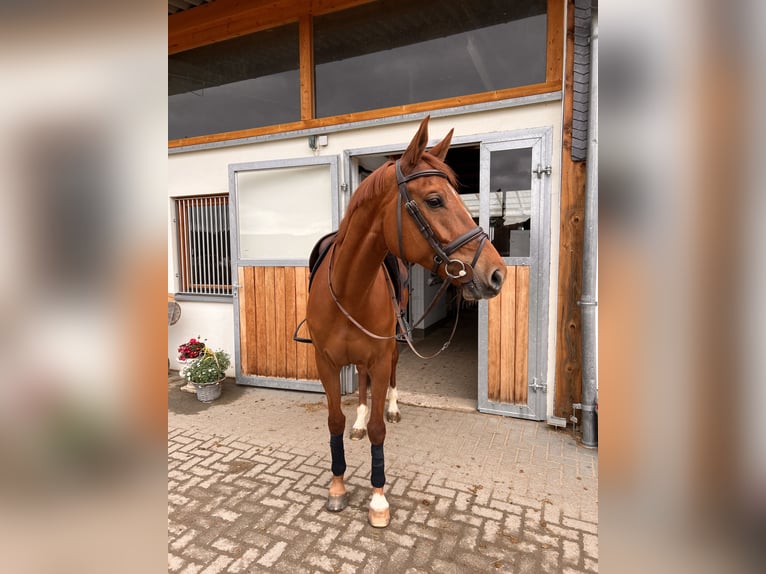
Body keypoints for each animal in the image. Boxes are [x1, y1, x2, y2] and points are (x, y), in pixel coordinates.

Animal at [305, 116, 506, 528]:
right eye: (435, 200)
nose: (497, 274)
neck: (350, 289)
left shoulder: (382, 356)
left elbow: (380, 429)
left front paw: (378, 499)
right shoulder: (326, 363)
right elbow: (334, 421)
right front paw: (337, 486)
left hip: (393, 344)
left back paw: (392, 408)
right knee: (361, 384)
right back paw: (359, 422)